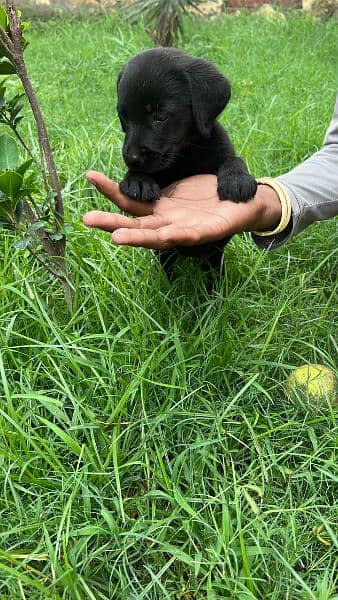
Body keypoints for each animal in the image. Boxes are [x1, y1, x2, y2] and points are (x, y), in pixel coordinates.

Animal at [116, 49, 256, 274]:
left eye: (160, 116)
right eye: (125, 118)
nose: (131, 158)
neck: (185, 156)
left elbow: (233, 160)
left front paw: (237, 180)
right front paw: (137, 180)